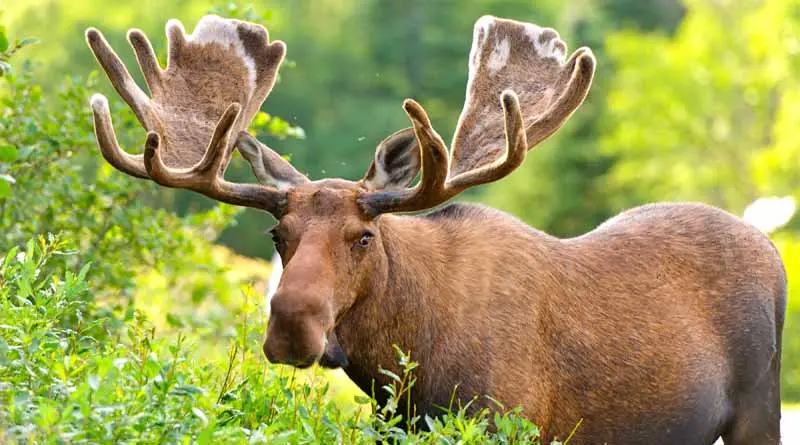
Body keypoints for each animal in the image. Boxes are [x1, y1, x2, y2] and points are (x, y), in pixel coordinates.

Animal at [84, 13, 784, 444]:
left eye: (365, 237)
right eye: (276, 236)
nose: (291, 327)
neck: (407, 362)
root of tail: (772, 249)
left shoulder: (507, 421)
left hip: (760, 406)